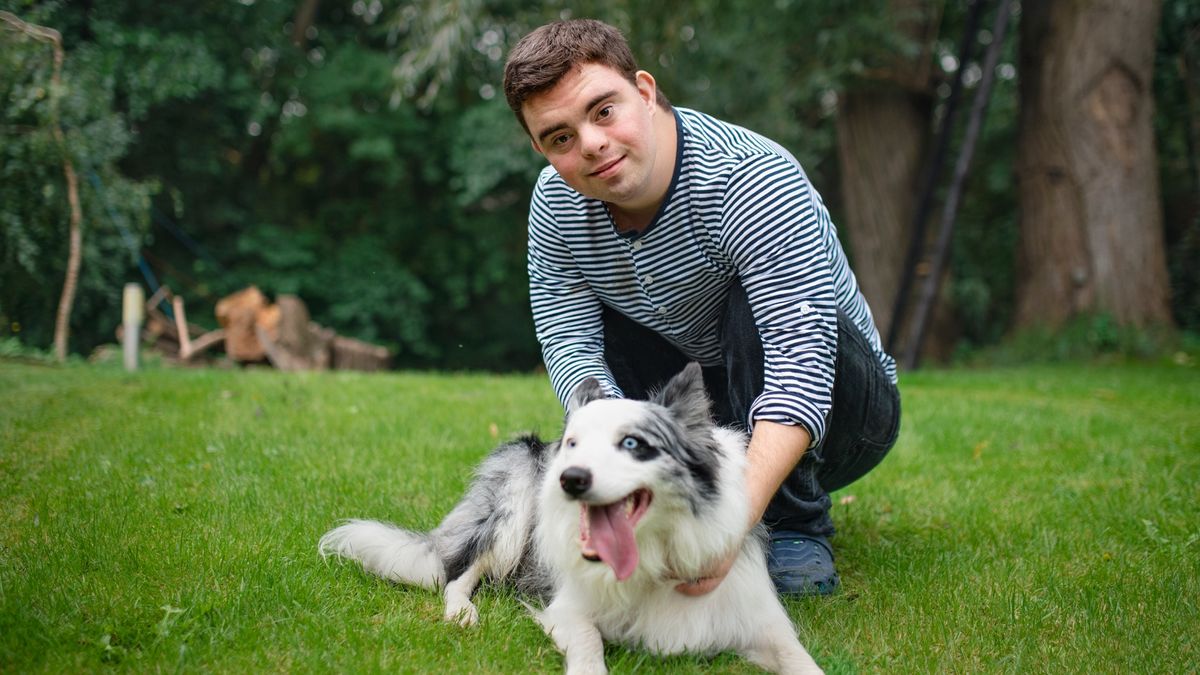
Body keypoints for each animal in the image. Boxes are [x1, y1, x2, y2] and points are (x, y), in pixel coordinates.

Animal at [319, 362, 825, 672]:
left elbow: (802, 659)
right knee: (459, 573)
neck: (650, 556)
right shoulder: (568, 608)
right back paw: (463, 612)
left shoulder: (759, 618)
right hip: (513, 507)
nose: (570, 478)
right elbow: (588, 645)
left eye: (632, 444)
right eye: (575, 443)